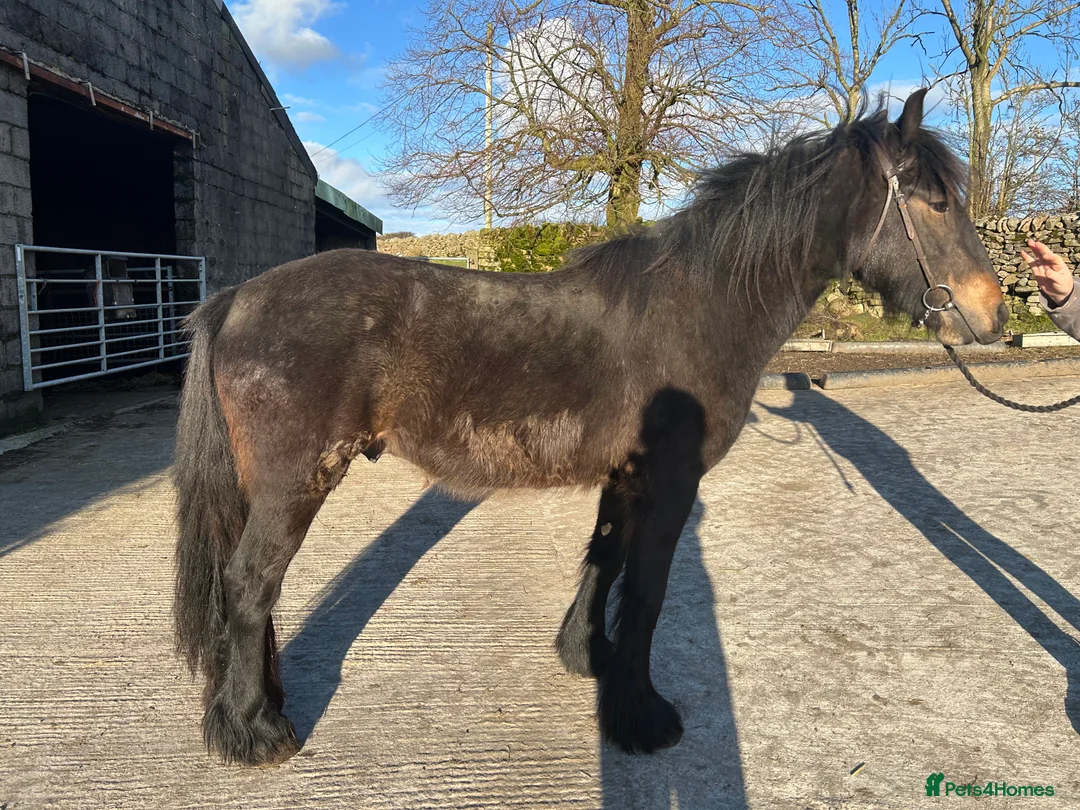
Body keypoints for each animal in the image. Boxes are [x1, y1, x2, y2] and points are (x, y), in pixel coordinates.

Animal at [173, 89, 1010, 766]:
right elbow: (646, 593)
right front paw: (642, 716)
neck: (700, 307)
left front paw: (585, 657)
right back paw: (253, 731)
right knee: (250, 583)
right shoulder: (670, 483)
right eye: (935, 201)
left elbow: (605, 560)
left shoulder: (628, 479)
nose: (993, 312)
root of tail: (238, 300)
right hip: (295, 482)